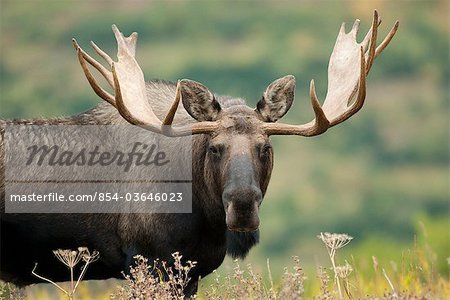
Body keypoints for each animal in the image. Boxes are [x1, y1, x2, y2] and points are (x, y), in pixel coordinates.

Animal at [1, 11, 400, 296]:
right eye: (215, 148)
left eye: (266, 147)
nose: (242, 206)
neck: (202, 221)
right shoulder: (143, 262)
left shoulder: (189, 273)